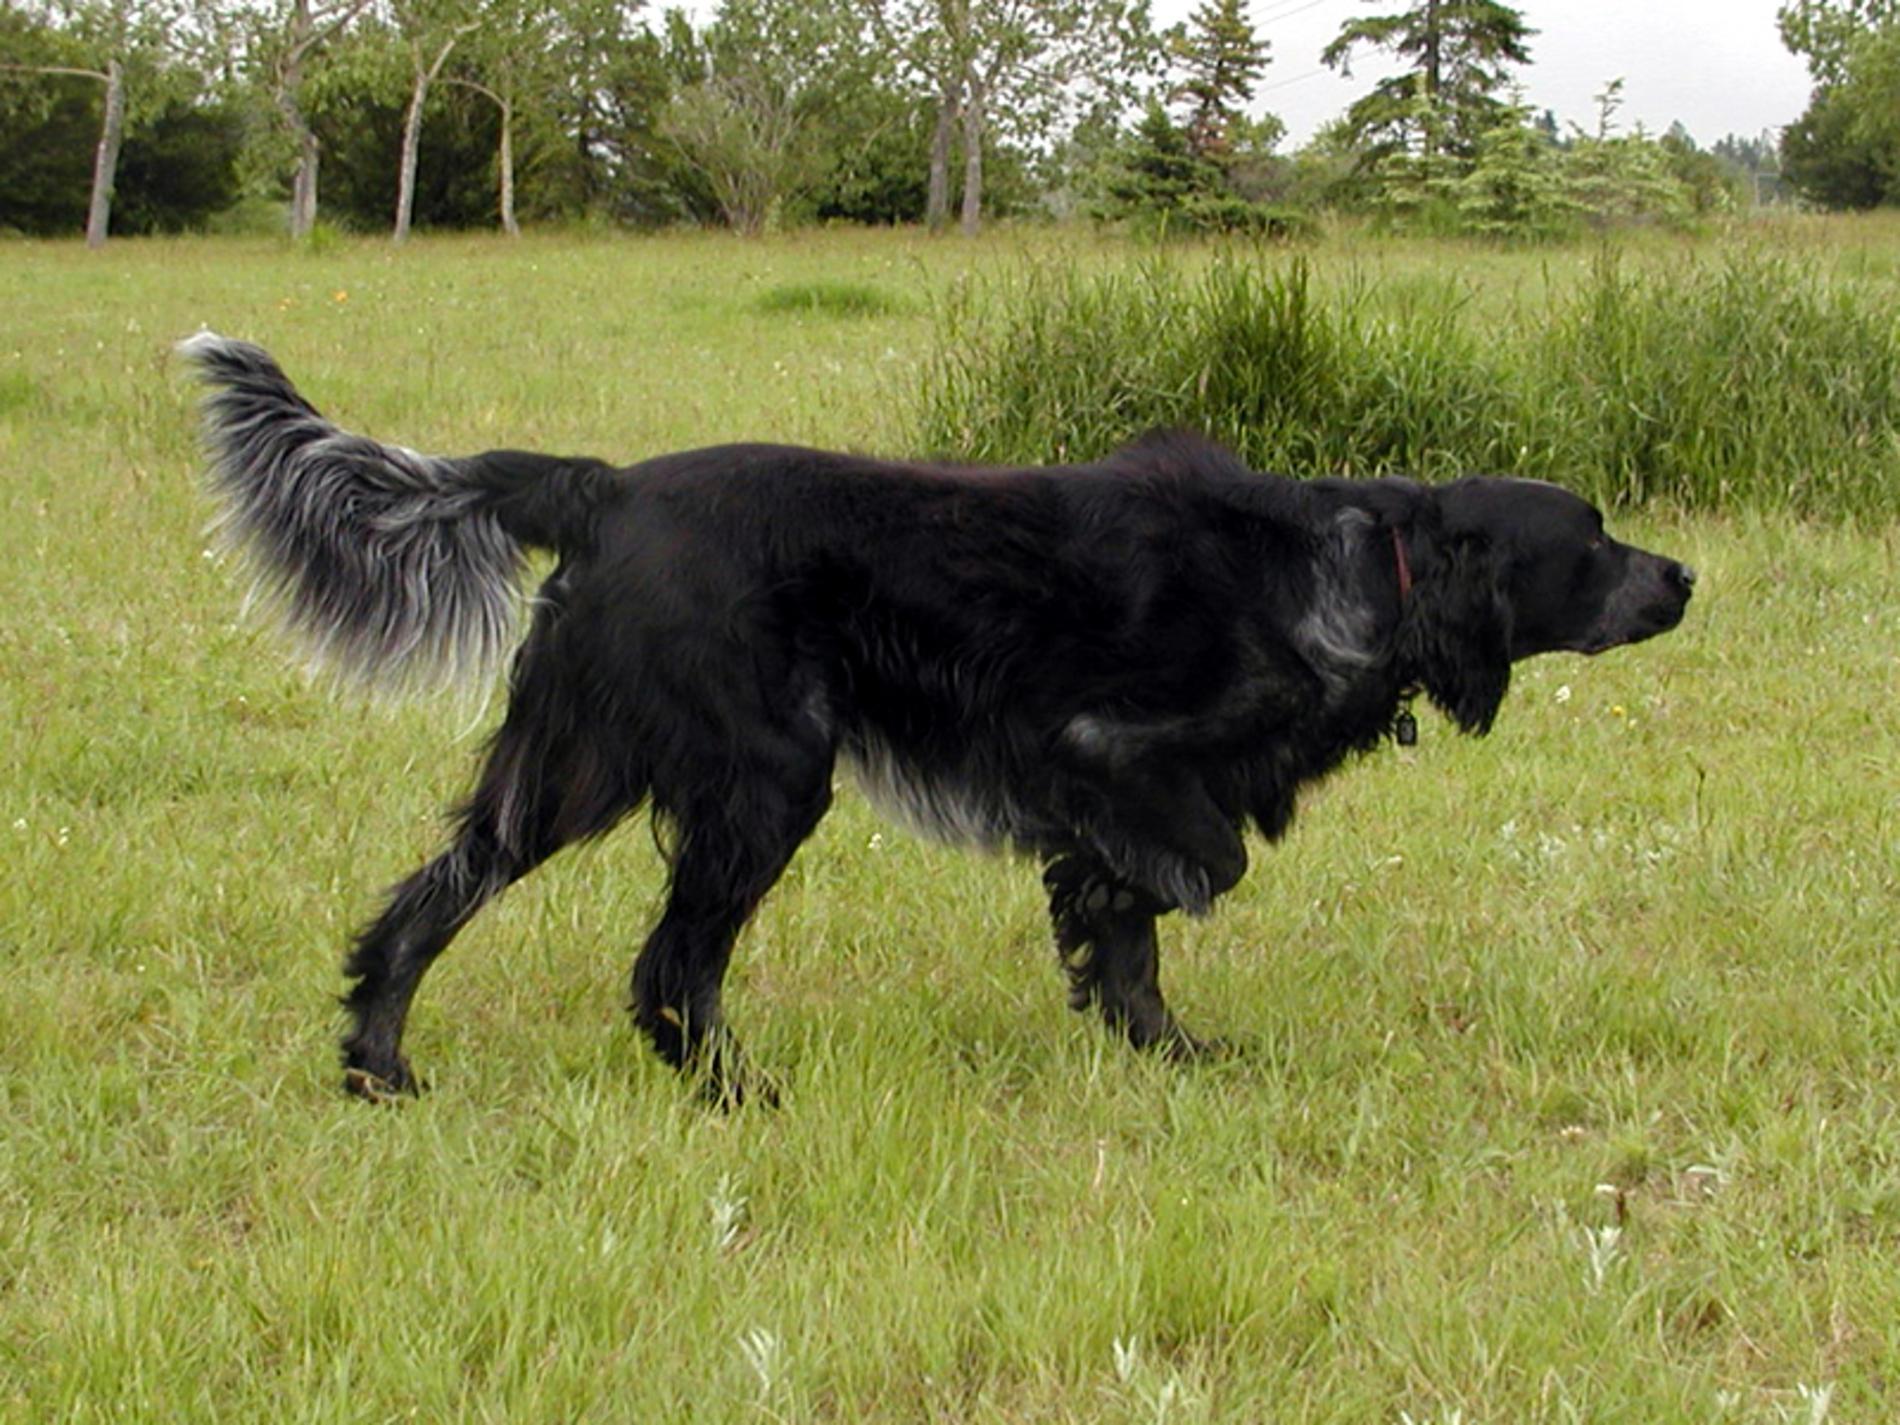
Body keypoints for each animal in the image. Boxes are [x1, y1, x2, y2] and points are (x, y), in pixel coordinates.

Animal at [181, 334, 1694, 1102]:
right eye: (1593, 539)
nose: (1683, 577)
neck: (1355, 572)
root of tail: (608, 488)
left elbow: (1133, 939)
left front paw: (1164, 1050)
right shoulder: (1109, 756)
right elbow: (1188, 872)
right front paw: (1132, 979)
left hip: (574, 767)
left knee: (430, 903)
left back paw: (379, 1062)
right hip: (767, 776)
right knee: (674, 965)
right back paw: (730, 1092)